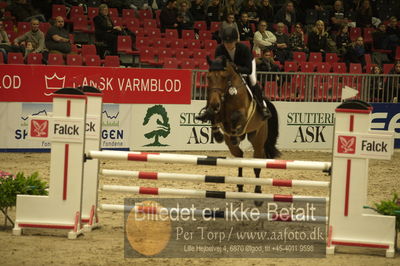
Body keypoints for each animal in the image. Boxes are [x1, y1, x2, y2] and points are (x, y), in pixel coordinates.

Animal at [205, 56, 280, 201]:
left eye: (223, 77)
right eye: (208, 77)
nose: (215, 104)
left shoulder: (242, 113)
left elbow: (236, 116)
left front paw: (233, 132)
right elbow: (214, 117)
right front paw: (218, 135)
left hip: (258, 138)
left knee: (257, 162)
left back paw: (258, 189)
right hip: (234, 147)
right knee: (239, 156)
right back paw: (240, 185)